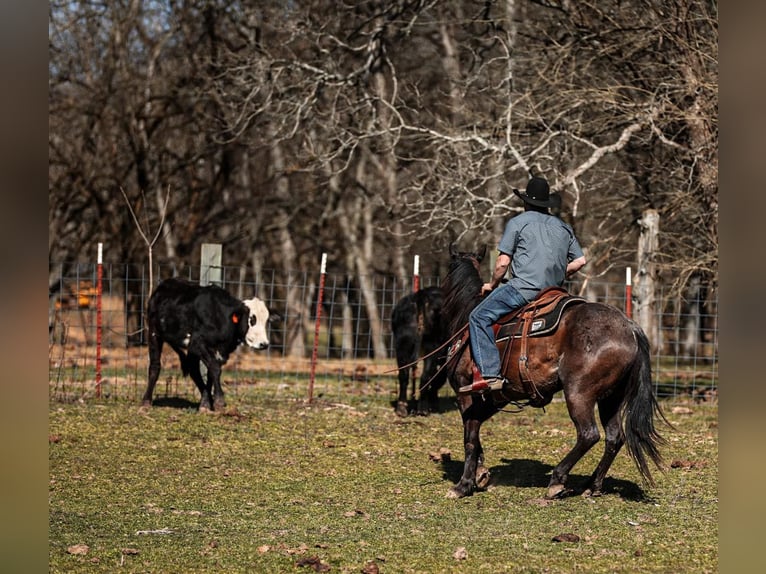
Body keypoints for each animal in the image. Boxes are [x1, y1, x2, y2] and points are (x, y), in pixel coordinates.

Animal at [391, 286, 449, 416]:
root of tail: (421, 295)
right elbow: (439, 376)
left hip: (403, 343)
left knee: (403, 374)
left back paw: (402, 408)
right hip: (432, 347)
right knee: (425, 377)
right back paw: (422, 409)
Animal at [441, 245, 669, 499]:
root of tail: (630, 328)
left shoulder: (466, 393)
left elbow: (470, 437)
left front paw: (463, 485)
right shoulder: (495, 398)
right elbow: (476, 430)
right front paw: (480, 473)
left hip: (579, 393)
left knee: (589, 434)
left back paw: (558, 480)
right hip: (612, 398)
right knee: (614, 437)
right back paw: (592, 485)